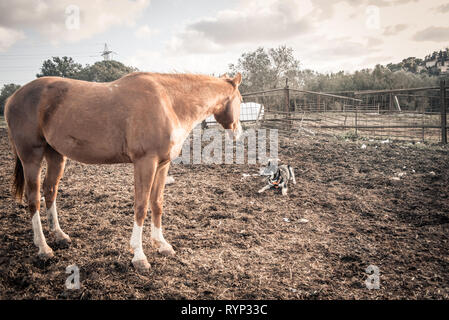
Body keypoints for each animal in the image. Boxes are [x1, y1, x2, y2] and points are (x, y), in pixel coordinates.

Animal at [4, 72, 242, 272]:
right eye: (239, 100)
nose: (238, 133)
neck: (168, 102)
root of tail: (12, 98)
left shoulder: (162, 165)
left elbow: (157, 203)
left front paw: (162, 244)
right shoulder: (145, 162)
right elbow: (141, 206)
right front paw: (139, 256)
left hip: (55, 155)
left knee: (50, 190)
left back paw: (60, 236)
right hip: (31, 157)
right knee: (34, 198)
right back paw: (43, 248)